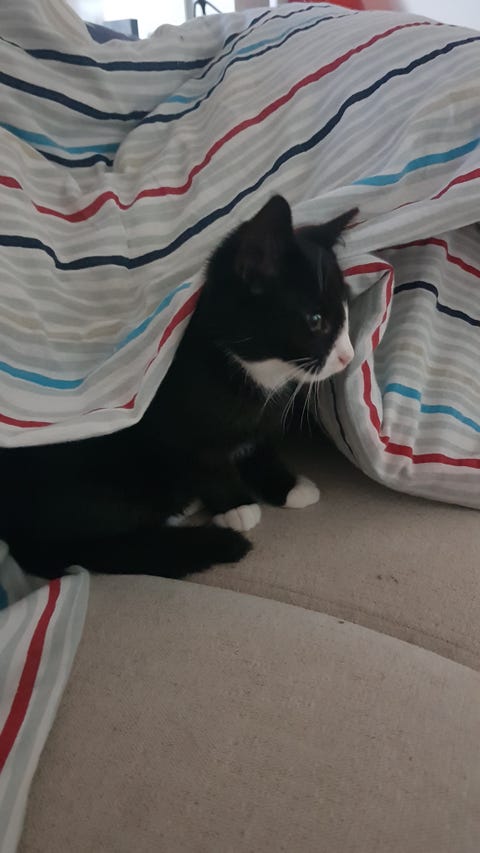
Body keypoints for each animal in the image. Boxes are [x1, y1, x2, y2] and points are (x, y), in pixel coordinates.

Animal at [0, 195, 357, 580]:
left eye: (346, 311)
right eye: (315, 321)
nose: (348, 356)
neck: (251, 374)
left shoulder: (262, 420)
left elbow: (261, 445)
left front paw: (286, 486)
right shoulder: (174, 427)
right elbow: (207, 463)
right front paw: (236, 505)